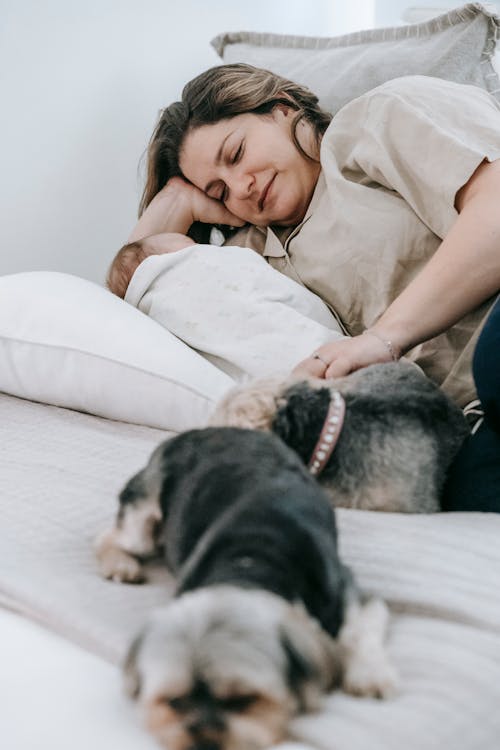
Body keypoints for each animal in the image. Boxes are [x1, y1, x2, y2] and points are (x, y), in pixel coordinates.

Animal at [95, 428, 396, 750]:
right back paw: (120, 564)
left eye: (243, 701)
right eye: (174, 702)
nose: (203, 742)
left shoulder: (344, 585)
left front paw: (369, 673)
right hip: (145, 509)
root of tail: (193, 433)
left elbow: (361, 626)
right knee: (111, 537)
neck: (249, 564)